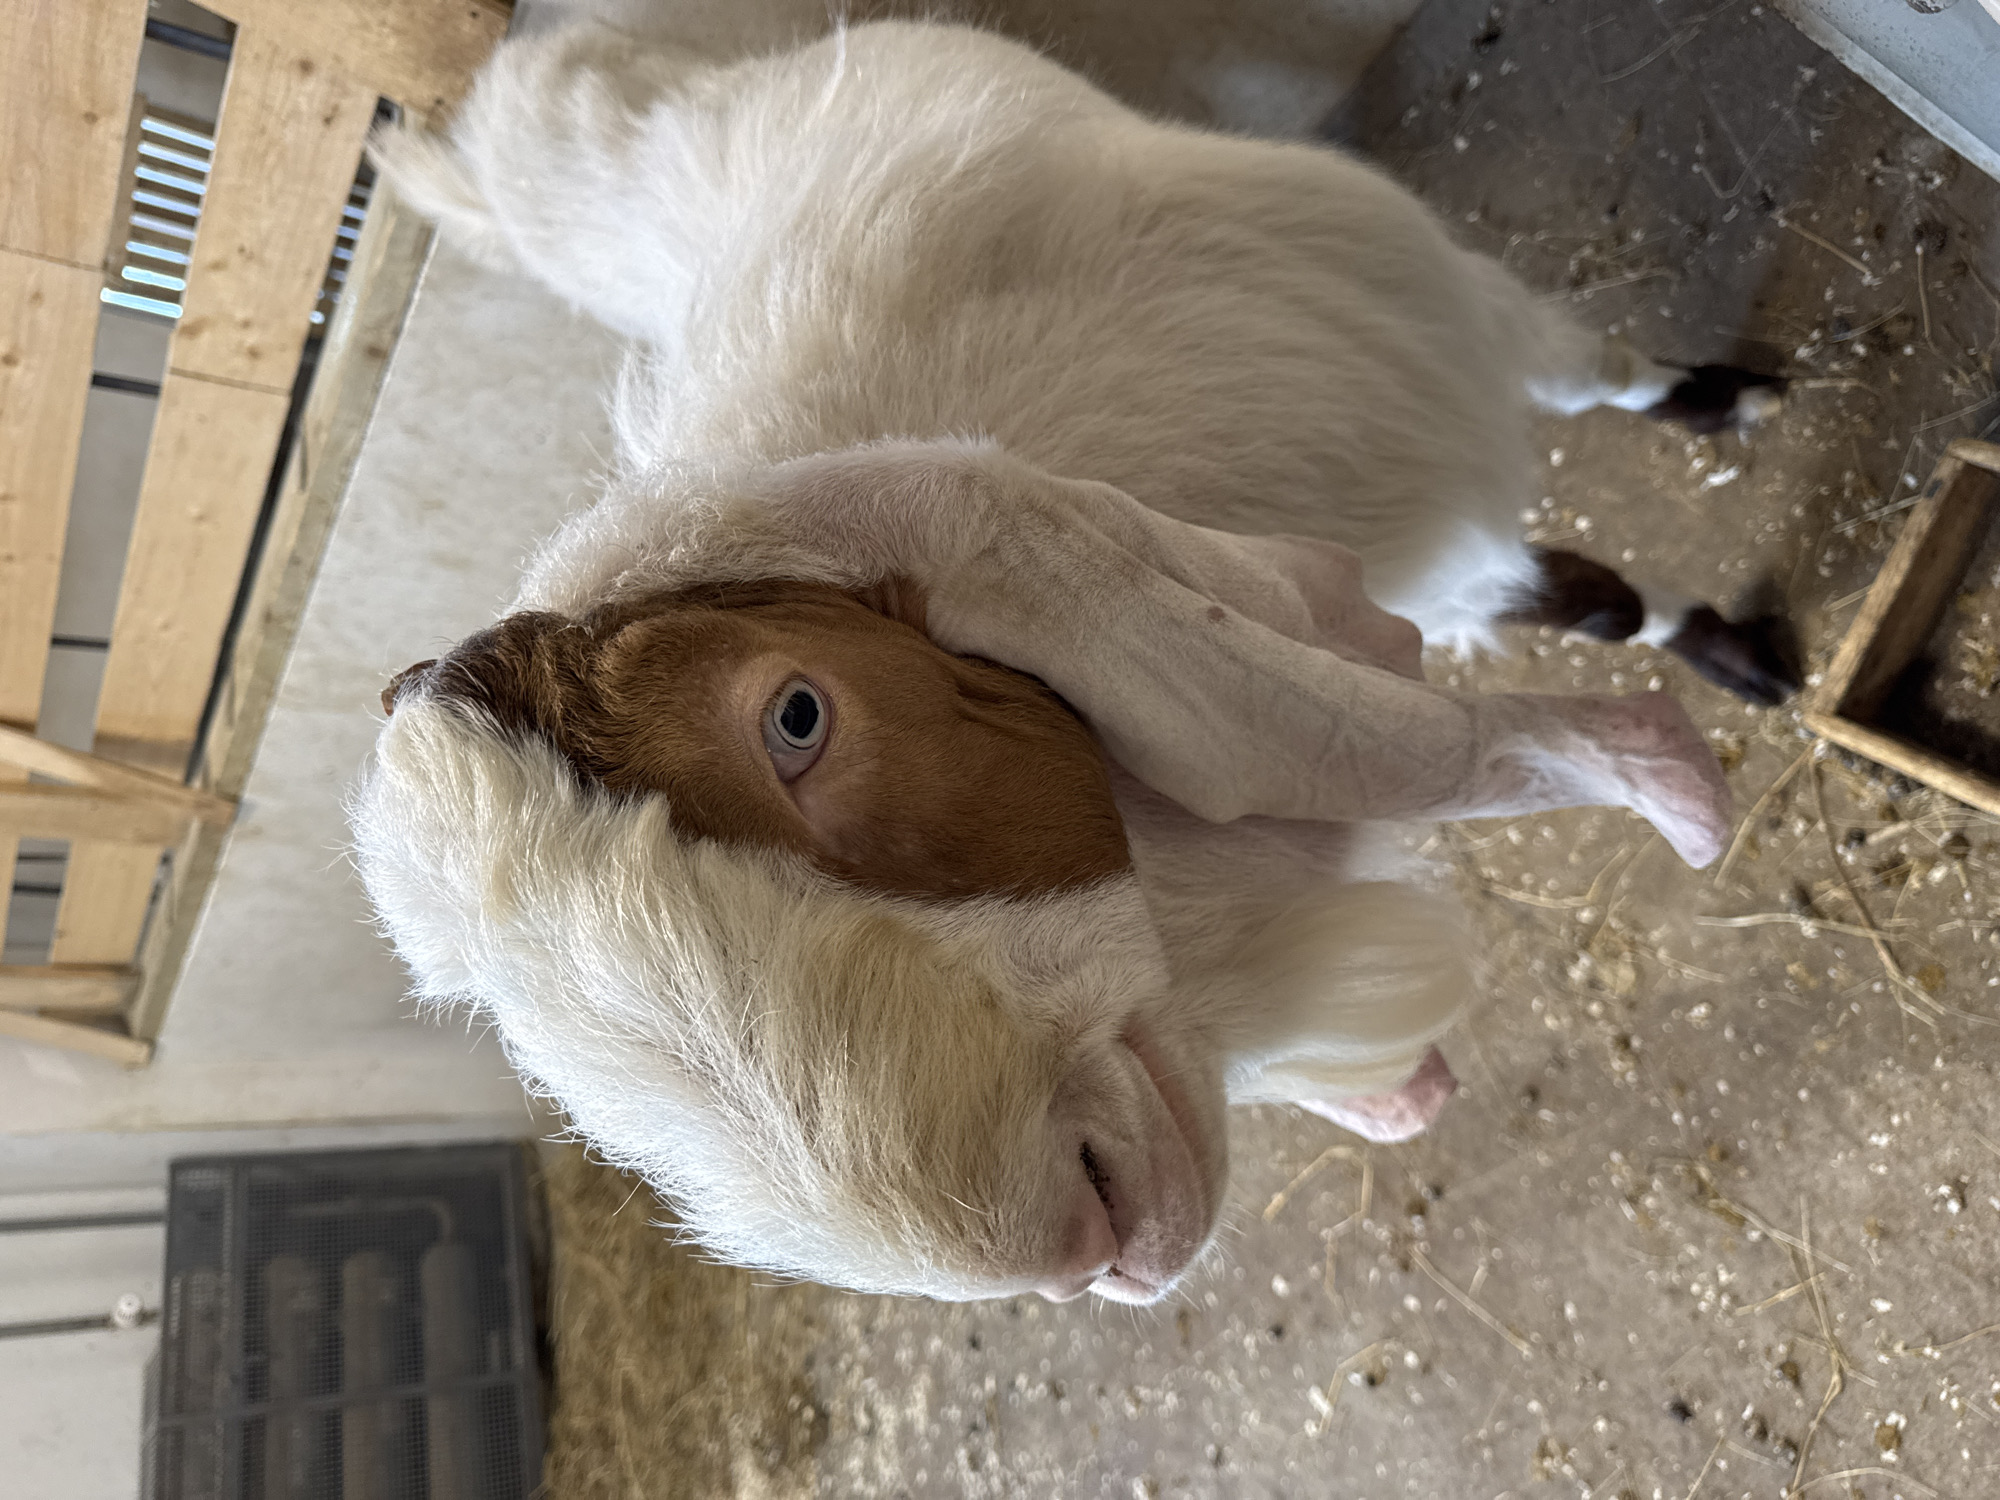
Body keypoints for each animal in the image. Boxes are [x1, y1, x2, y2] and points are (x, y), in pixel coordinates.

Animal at [352, 17, 1783, 1304]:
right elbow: (1569, 607)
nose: (1090, 1243)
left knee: (1586, 379)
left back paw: (1726, 411)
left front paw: (1698, 728)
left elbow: (1547, 610)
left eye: (797, 717)